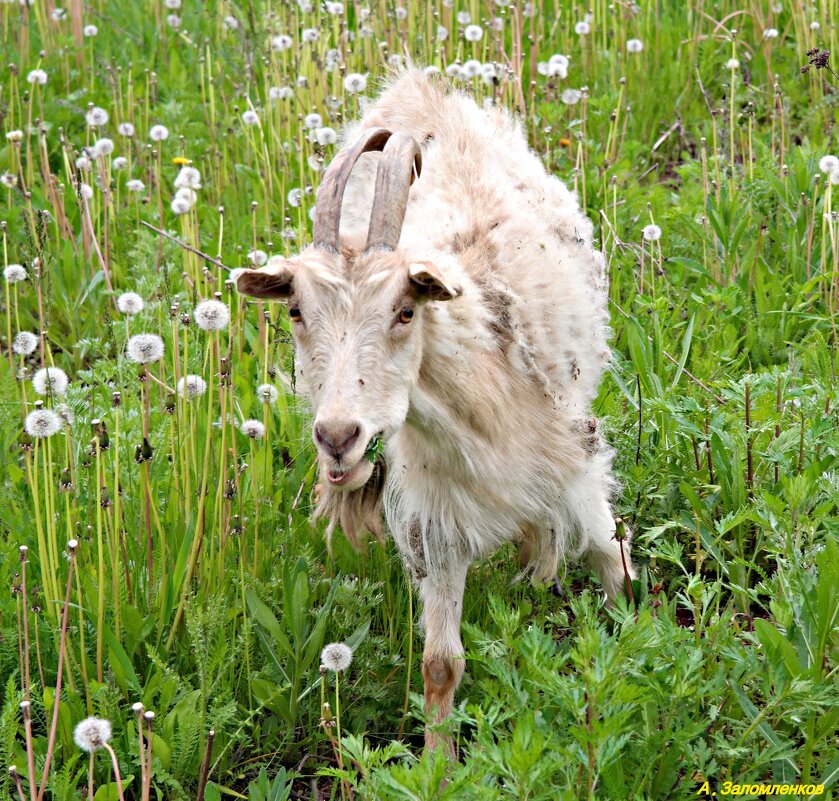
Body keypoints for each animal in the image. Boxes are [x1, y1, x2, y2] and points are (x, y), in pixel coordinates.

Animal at [233, 70, 632, 752]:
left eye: (404, 310)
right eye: (296, 311)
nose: (337, 436)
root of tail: (418, 89)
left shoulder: (574, 458)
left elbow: (614, 563)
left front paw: (645, 653)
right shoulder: (436, 515)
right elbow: (440, 664)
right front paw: (439, 761)